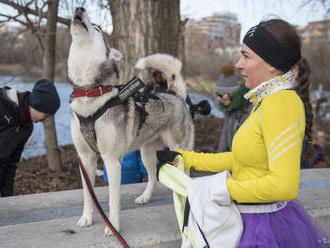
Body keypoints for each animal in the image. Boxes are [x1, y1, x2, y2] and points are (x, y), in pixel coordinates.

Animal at [68, 7, 195, 235]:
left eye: (97, 29)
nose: (79, 9)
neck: (90, 93)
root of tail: (174, 94)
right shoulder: (85, 158)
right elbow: (88, 194)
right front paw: (87, 217)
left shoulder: (111, 161)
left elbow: (113, 199)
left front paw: (113, 228)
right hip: (146, 153)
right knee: (152, 177)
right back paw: (144, 197)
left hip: (178, 149)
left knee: (183, 173)